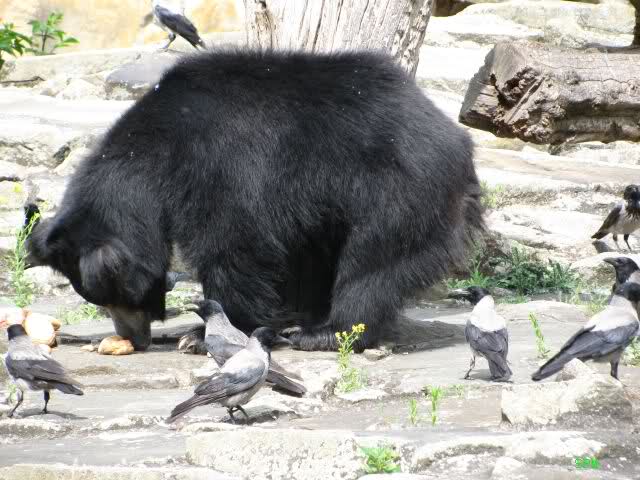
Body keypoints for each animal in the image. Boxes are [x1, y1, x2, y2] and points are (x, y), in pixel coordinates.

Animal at [25, 48, 484, 352]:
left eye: (117, 295)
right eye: (99, 302)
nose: (133, 338)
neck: (152, 156)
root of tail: (455, 137)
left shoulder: (220, 168)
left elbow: (235, 245)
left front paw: (202, 334)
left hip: (399, 187)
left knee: (374, 262)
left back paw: (325, 332)